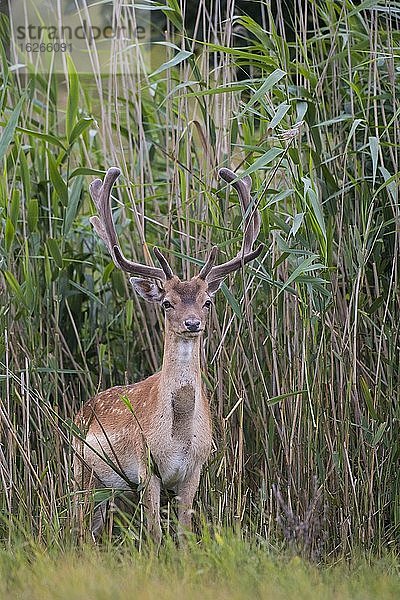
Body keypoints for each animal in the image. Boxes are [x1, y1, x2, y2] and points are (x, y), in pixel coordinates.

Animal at [73, 165, 262, 544]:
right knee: (76, 523)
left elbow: (185, 533)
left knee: (94, 527)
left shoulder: (195, 470)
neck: (177, 437)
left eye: (207, 301)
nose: (192, 323)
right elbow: (156, 532)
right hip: (81, 472)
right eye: (167, 303)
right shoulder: (148, 468)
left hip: (105, 487)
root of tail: (80, 410)